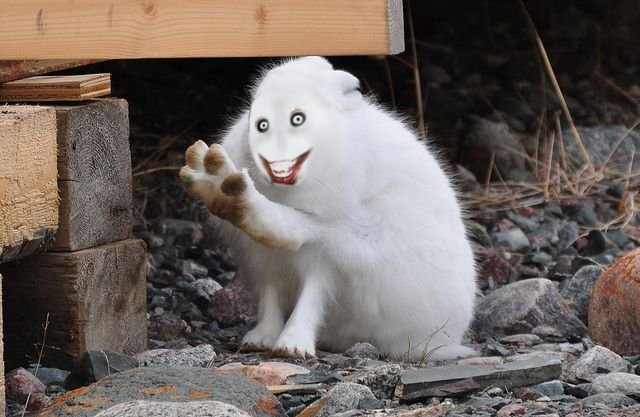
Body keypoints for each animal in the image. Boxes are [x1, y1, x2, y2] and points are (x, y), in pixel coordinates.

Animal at [180, 56, 476, 360]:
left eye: (298, 118)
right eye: (254, 111)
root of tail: (452, 336)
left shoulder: (326, 258)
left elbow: (312, 296)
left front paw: (292, 347)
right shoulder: (265, 263)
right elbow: (270, 299)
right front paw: (260, 339)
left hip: (363, 237)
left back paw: (231, 193)